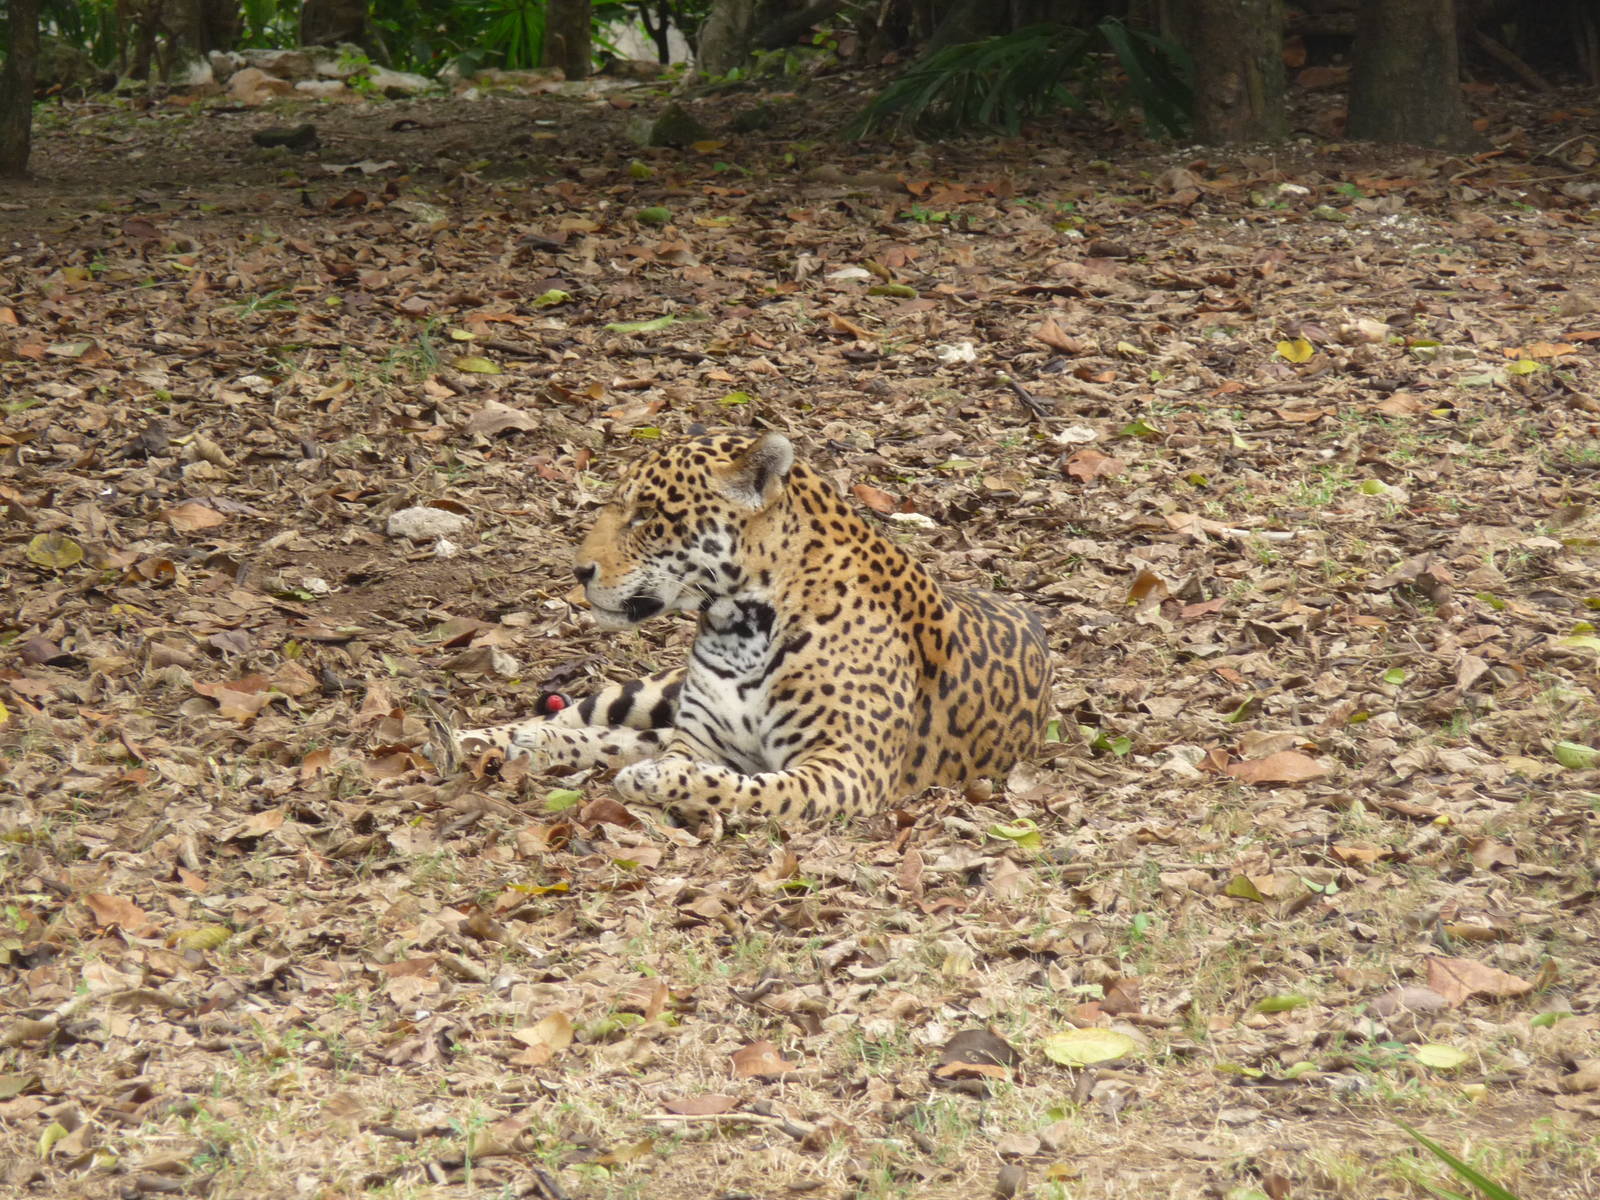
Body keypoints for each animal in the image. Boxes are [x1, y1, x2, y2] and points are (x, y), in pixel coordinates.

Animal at [452, 432, 1054, 826]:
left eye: (647, 515)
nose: (579, 570)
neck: (738, 625)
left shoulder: (846, 766)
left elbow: (757, 791)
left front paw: (657, 782)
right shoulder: (696, 734)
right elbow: (678, 758)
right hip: (652, 690)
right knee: (585, 720)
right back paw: (481, 738)